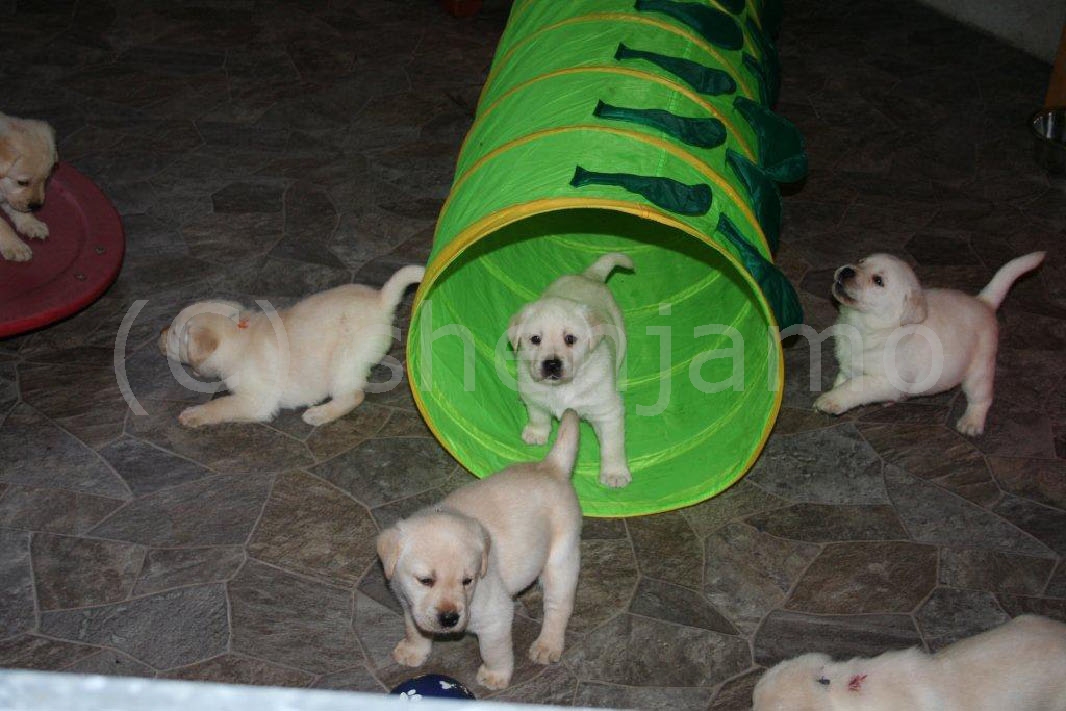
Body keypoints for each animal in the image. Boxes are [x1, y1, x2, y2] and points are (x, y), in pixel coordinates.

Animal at [0, 112, 57, 262]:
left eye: (46, 179)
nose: (36, 206)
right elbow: (2, 225)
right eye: (22, 182)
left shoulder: (10, 197)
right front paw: (15, 245)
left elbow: (19, 210)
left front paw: (31, 223)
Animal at [159, 264, 424, 427]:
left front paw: (193, 414)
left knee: (354, 395)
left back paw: (320, 414)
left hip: (345, 359)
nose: (160, 334)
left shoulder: (255, 400)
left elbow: (220, 405)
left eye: (174, 332)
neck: (238, 336)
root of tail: (381, 299)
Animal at [376, 409, 582, 690]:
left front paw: (495, 675)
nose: (450, 618)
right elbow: (413, 627)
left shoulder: (495, 615)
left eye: (468, 581)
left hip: (562, 558)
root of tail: (551, 466)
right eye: (425, 580)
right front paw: (413, 650)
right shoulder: (408, 601)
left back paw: (547, 645)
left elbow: (494, 650)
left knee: (558, 606)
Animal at [508, 252, 633, 487]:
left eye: (570, 339)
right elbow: (538, 414)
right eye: (535, 339)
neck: (562, 387)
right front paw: (536, 433)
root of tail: (589, 276)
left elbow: (613, 446)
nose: (551, 364)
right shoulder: (533, 393)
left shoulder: (607, 412)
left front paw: (615, 473)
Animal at [813, 251, 1045, 435]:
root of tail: (984, 303)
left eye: (878, 281)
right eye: (860, 261)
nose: (846, 270)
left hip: (979, 371)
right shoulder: (849, 366)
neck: (864, 326)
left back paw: (972, 422)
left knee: (982, 398)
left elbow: (854, 387)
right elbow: (842, 380)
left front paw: (830, 400)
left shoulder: (886, 380)